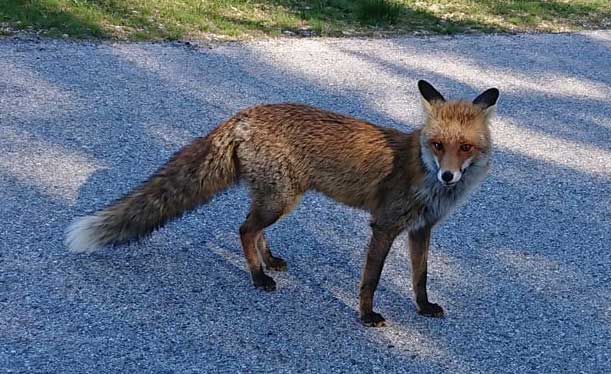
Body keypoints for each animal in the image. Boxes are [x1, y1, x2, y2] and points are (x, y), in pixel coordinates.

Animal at [65, 80, 498, 326]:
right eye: (437, 145)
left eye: (465, 148)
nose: (448, 176)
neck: (424, 175)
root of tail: (244, 114)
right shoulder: (385, 225)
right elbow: (371, 281)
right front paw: (366, 315)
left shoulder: (421, 229)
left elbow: (420, 278)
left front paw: (423, 308)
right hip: (282, 201)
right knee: (244, 229)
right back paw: (258, 277)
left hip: (278, 197)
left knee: (254, 229)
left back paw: (269, 261)